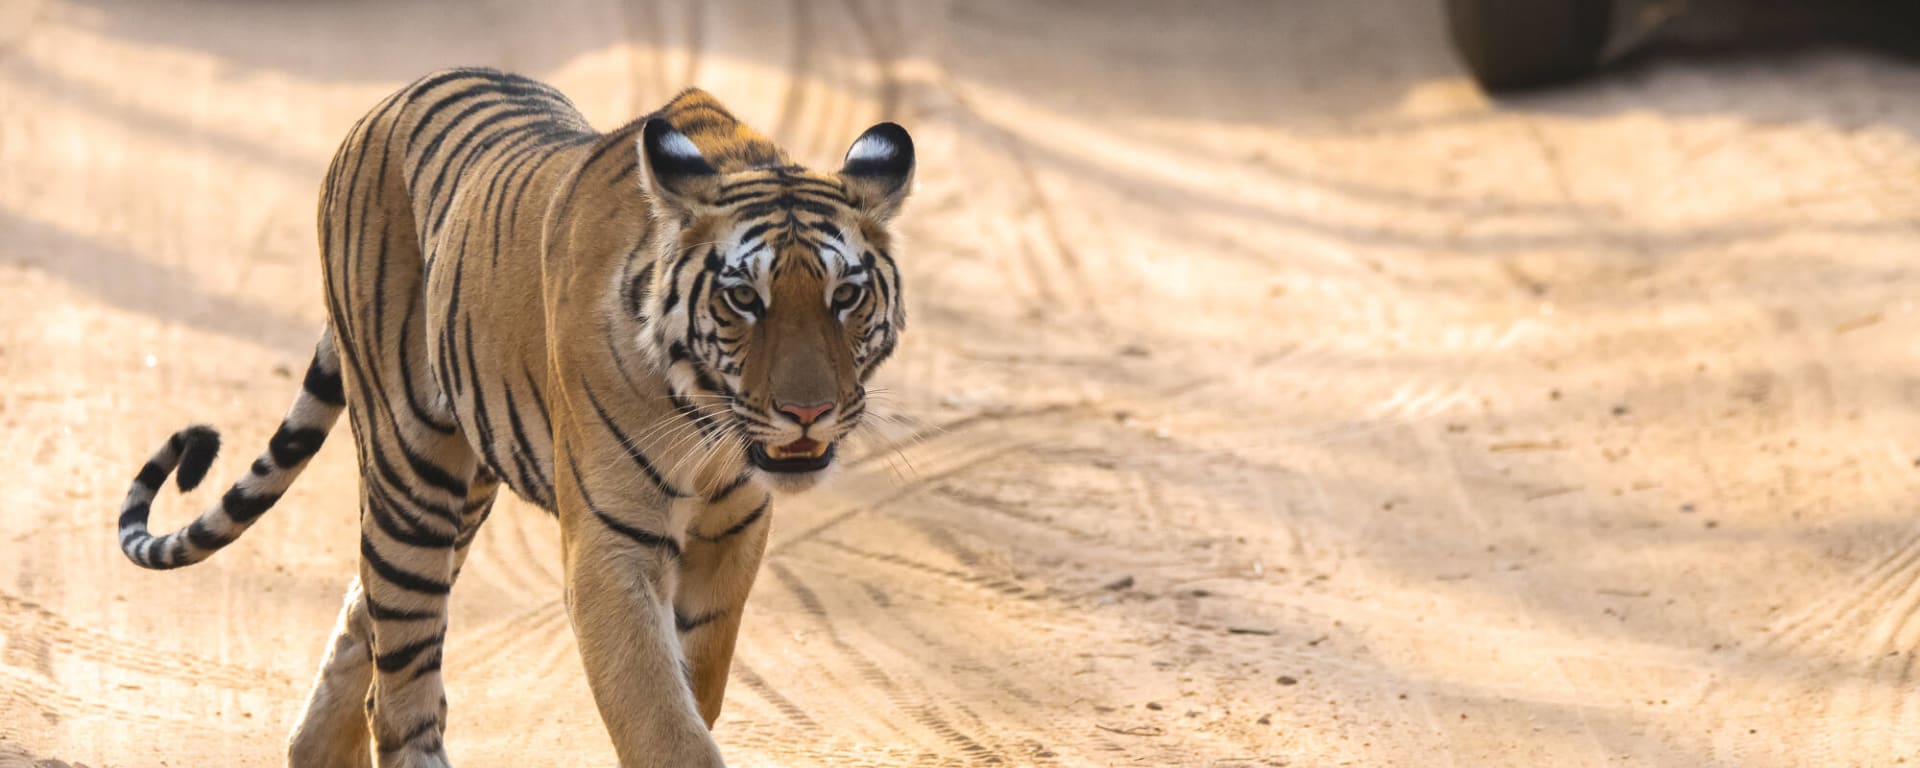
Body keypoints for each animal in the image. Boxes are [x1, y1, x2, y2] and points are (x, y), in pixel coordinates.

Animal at [111, 68, 913, 768]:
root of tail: (386, 104)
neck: (707, 424)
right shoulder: (612, 543)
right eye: (745, 298)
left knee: (363, 620)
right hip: (412, 478)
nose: (807, 412)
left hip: (463, 492)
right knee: (400, 690)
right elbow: (661, 721)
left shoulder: (735, 527)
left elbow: (698, 686)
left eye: (845, 296)